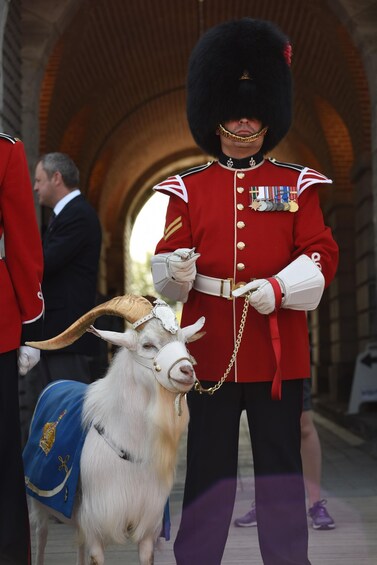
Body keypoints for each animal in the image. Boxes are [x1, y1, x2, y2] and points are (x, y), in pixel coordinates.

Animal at [22, 296, 206, 564]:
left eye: (184, 343)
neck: (129, 442)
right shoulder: (98, 521)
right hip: (39, 502)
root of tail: (56, 384)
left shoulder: (147, 525)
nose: (187, 371)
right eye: (147, 345)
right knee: (41, 537)